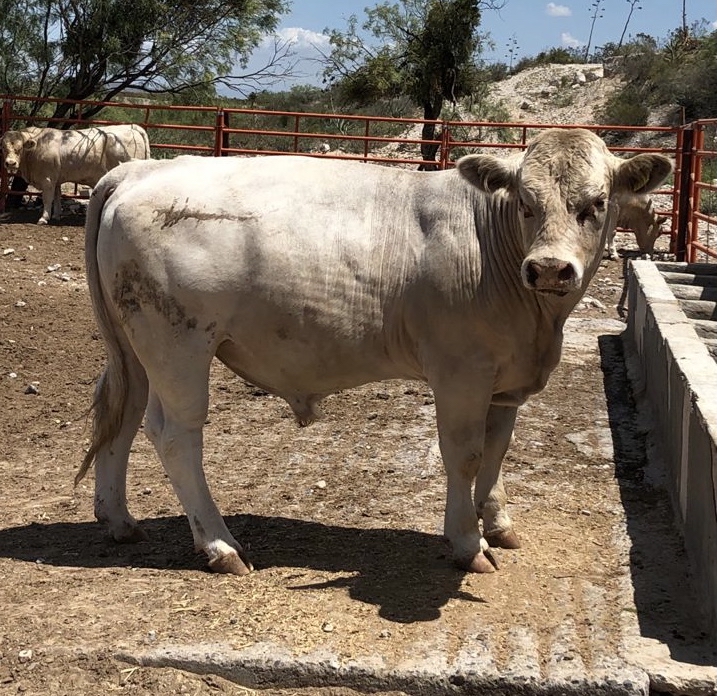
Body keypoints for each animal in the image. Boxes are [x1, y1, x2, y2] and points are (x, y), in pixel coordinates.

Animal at [1, 124, 150, 224]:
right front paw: (56, 216)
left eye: (19, 148)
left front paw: (44, 218)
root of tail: (133, 127)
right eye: (3, 147)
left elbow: (47, 198)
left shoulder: (47, 179)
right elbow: (57, 197)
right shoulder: (55, 179)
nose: (10, 163)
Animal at [77, 128, 672, 576]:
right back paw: (221, 546)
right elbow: (466, 454)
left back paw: (119, 520)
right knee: (176, 435)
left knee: (121, 417)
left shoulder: (506, 382)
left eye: (596, 204)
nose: (548, 268)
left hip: (136, 349)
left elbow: (498, 450)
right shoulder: (462, 373)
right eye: (526, 203)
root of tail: (141, 171)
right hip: (178, 347)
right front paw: (467, 542)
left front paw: (498, 524)